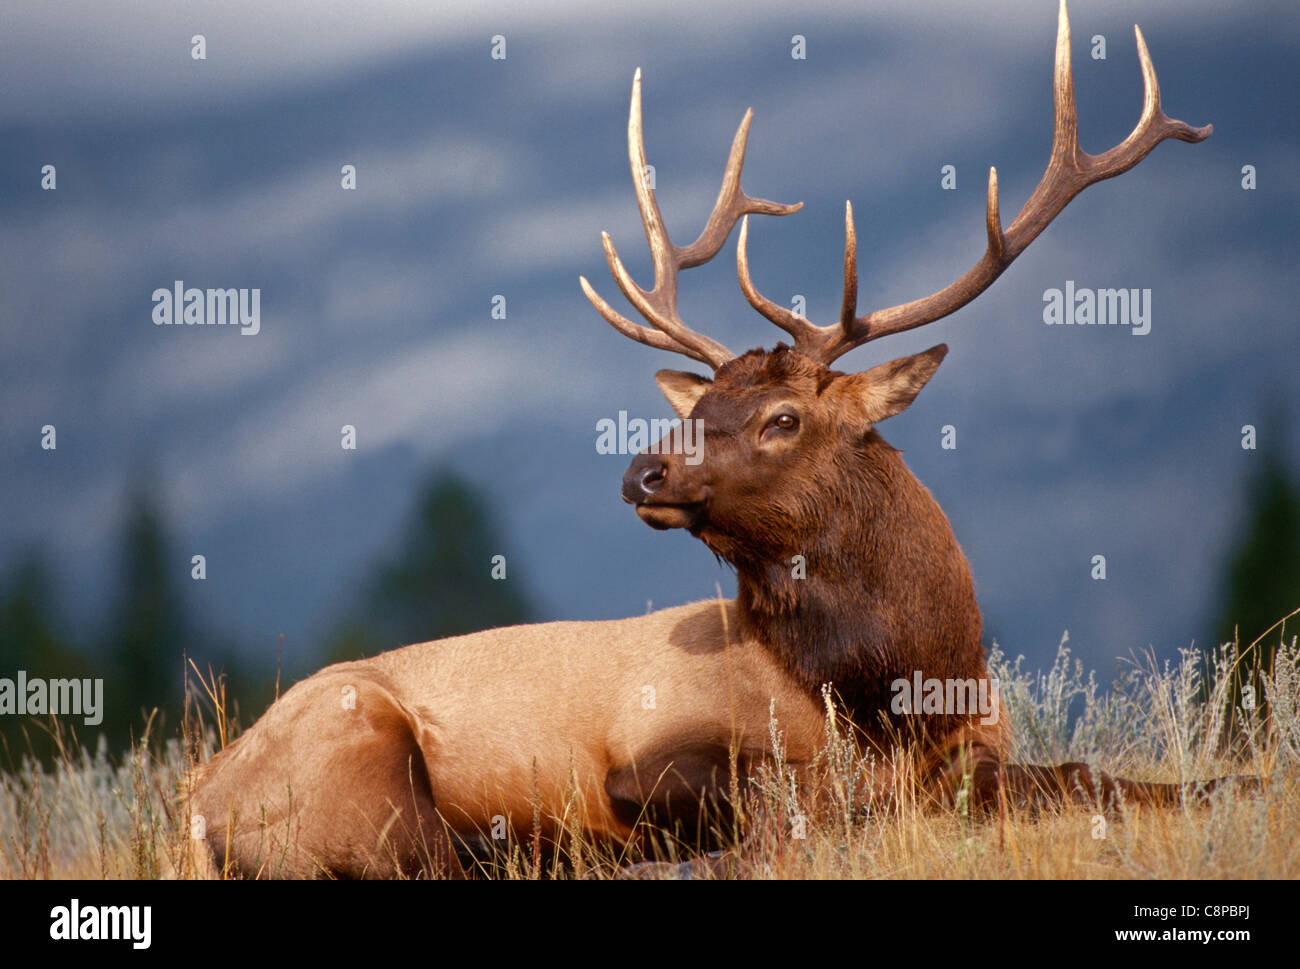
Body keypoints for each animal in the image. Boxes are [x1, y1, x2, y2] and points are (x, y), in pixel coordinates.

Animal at [185, 2, 1243, 880]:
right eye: (699, 411)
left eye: (783, 418)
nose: (640, 469)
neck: (897, 687)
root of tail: (200, 808)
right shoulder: (650, 755)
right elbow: (818, 806)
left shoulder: (986, 740)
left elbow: (1081, 775)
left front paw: (1229, 784)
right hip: (358, 750)